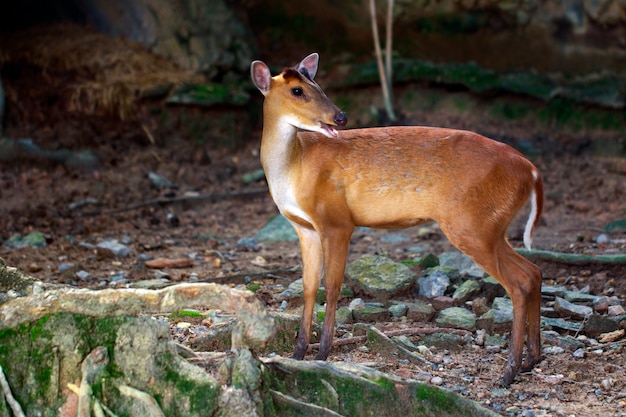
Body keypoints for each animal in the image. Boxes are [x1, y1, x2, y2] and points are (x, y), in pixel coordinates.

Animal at [251, 53, 544, 386]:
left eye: (319, 86)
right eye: (298, 90)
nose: (340, 117)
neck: (295, 168)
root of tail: (532, 171)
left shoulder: (337, 221)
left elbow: (333, 285)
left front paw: (323, 353)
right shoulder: (304, 227)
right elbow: (309, 286)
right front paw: (298, 352)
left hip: (471, 224)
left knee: (518, 283)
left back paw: (509, 371)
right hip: (491, 226)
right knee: (533, 272)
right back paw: (531, 359)